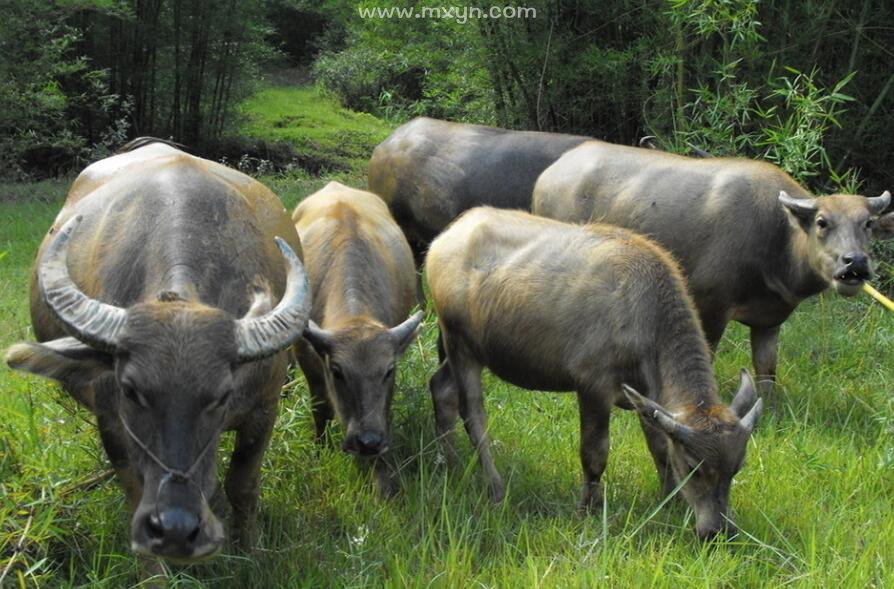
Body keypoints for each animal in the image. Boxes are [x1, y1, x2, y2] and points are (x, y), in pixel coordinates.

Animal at [5, 137, 312, 560]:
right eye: (131, 390)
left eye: (222, 395)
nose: (177, 527)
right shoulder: (113, 423)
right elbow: (137, 495)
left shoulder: (264, 407)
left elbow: (242, 485)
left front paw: (251, 550)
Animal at [290, 181, 424, 494]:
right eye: (337, 371)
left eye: (388, 371)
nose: (368, 442)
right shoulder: (308, 359)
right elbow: (320, 406)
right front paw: (320, 448)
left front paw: (382, 480)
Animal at [428, 208, 764, 544]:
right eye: (694, 467)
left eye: (737, 467)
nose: (718, 531)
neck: (641, 312)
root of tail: (446, 238)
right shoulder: (593, 388)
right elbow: (594, 453)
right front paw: (588, 508)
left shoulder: (647, 396)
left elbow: (660, 448)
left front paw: (673, 499)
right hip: (460, 346)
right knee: (473, 416)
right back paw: (495, 487)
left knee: (441, 388)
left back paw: (451, 463)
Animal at [536, 140, 892, 392]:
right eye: (822, 222)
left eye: (868, 224)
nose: (855, 262)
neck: (777, 238)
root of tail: (549, 174)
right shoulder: (711, 305)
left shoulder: (769, 320)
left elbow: (767, 371)